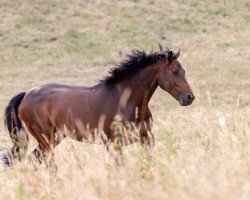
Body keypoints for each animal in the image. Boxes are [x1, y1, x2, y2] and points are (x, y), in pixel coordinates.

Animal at [2, 46, 195, 167]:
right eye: (175, 72)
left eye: (184, 71)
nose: (189, 97)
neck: (126, 102)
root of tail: (27, 94)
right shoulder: (114, 144)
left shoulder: (147, 139)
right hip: (46, 138)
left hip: (55, 137)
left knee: (36, 159)